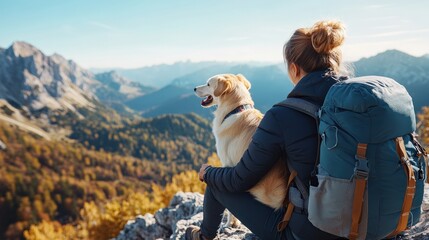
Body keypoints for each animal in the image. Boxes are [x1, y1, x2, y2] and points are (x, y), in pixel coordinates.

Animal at [195, 73, 290, 225]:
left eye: (208, 84)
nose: (194, 88)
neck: (234, 110)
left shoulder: (228, 165)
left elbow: (229, 209)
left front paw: (229, 224)